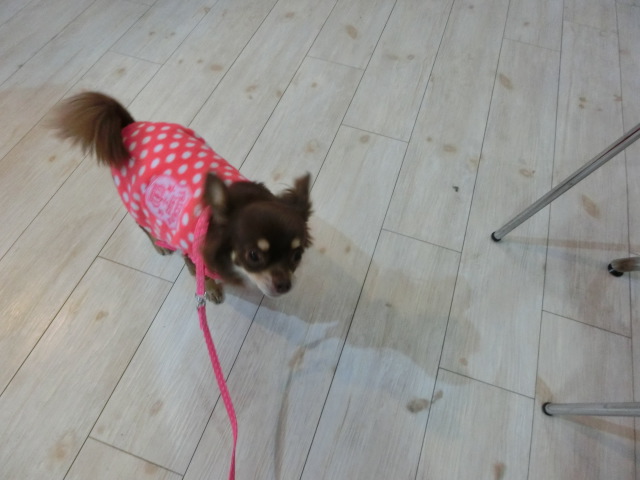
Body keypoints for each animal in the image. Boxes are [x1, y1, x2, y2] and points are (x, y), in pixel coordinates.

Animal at [52, 92, 312, 303]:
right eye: (254, 256)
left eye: (297, 255)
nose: (285, 285)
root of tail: (128, 129)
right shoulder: (193, 256)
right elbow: (202, 278)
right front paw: (211, 290)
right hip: (136, 202)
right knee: (143, 226)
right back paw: (159, 245)